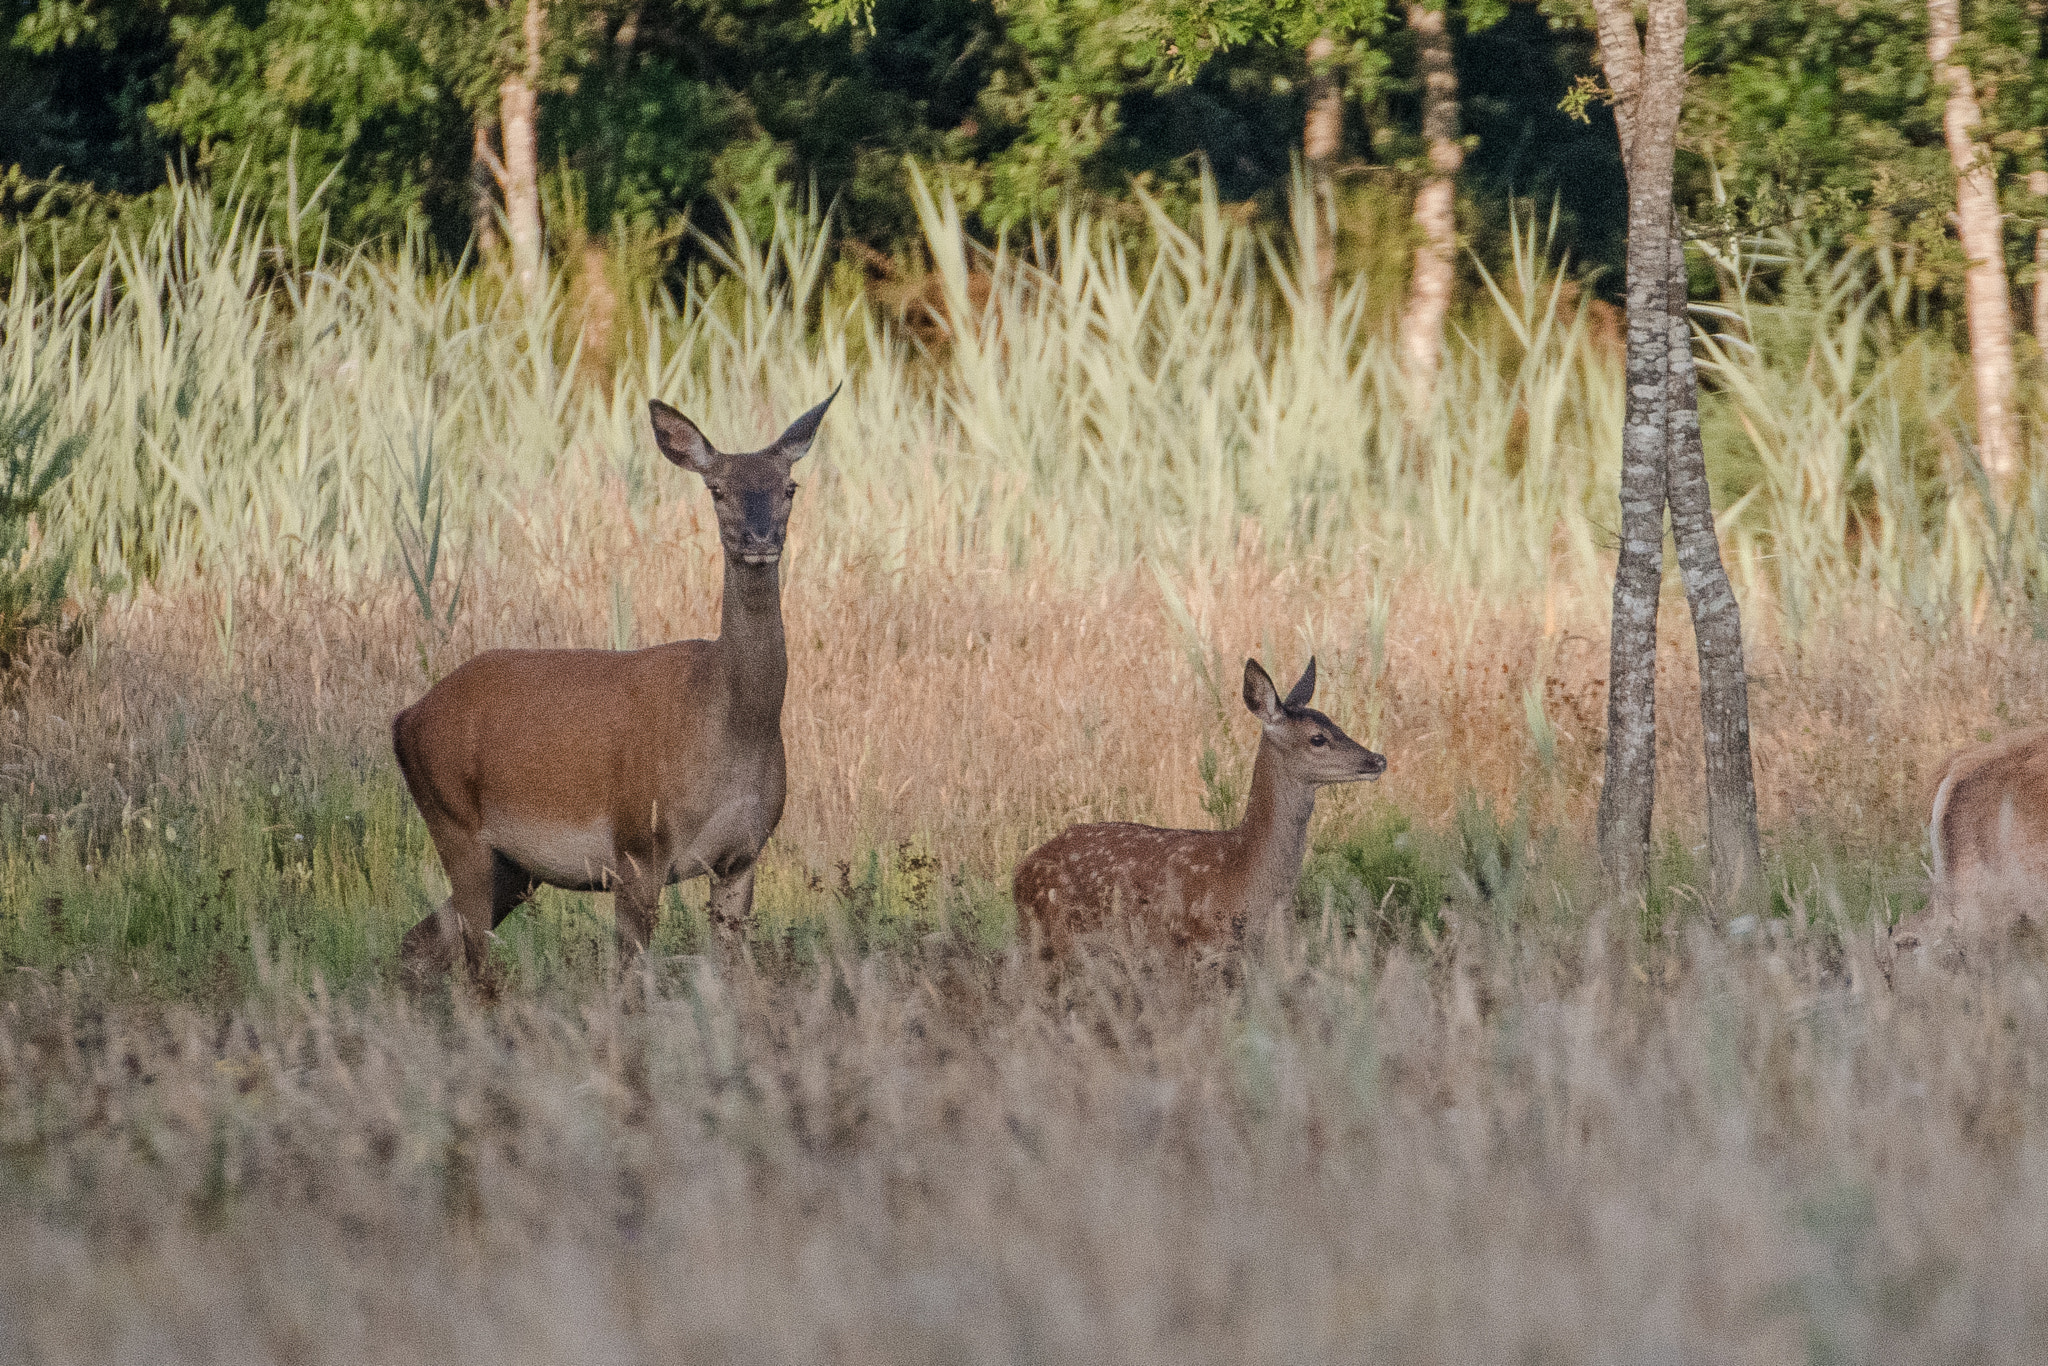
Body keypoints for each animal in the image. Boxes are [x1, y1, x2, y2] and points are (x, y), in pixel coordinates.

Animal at [390, 389, 837, 984]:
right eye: (716, 489)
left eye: (789, 487)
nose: (759, 539)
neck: (731, 723)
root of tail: (405, 719)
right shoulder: (636, 848)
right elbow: (629, 980)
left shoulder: (743, 856)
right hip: (454, 819)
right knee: (475, 965)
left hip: (513, 865)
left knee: (418, 943)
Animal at [1013, 657, 1386, 958]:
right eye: (1317, 738)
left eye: (1336, 723)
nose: (1378, 759)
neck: (1244, 873)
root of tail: (1019, 874)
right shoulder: (1193, 948)